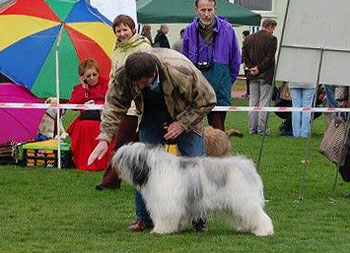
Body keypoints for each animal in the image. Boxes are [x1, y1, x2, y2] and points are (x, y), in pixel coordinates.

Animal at [112, 143, 274, 236]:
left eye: (123, 157)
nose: (113, 162)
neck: (153, 168)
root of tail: (247, 167)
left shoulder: (166, 204)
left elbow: (165, 217)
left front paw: (160, 230)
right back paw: (247, 228)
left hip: (244, 201)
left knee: (260, 216)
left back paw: (264, 231)